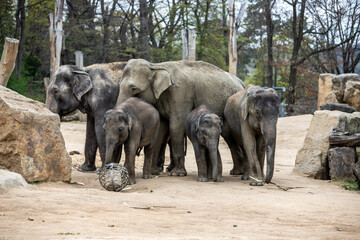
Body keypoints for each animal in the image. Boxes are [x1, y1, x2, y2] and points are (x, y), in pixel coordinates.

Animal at [116, 59, 246, 177]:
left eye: (133, 88)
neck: (156, 66)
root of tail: (241, 83)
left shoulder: (180, 94)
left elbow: (176, 126)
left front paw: (177, 174)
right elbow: (161, 129)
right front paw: (154, 172)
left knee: (228, 133)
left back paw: (237, 172)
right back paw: (237, 171)